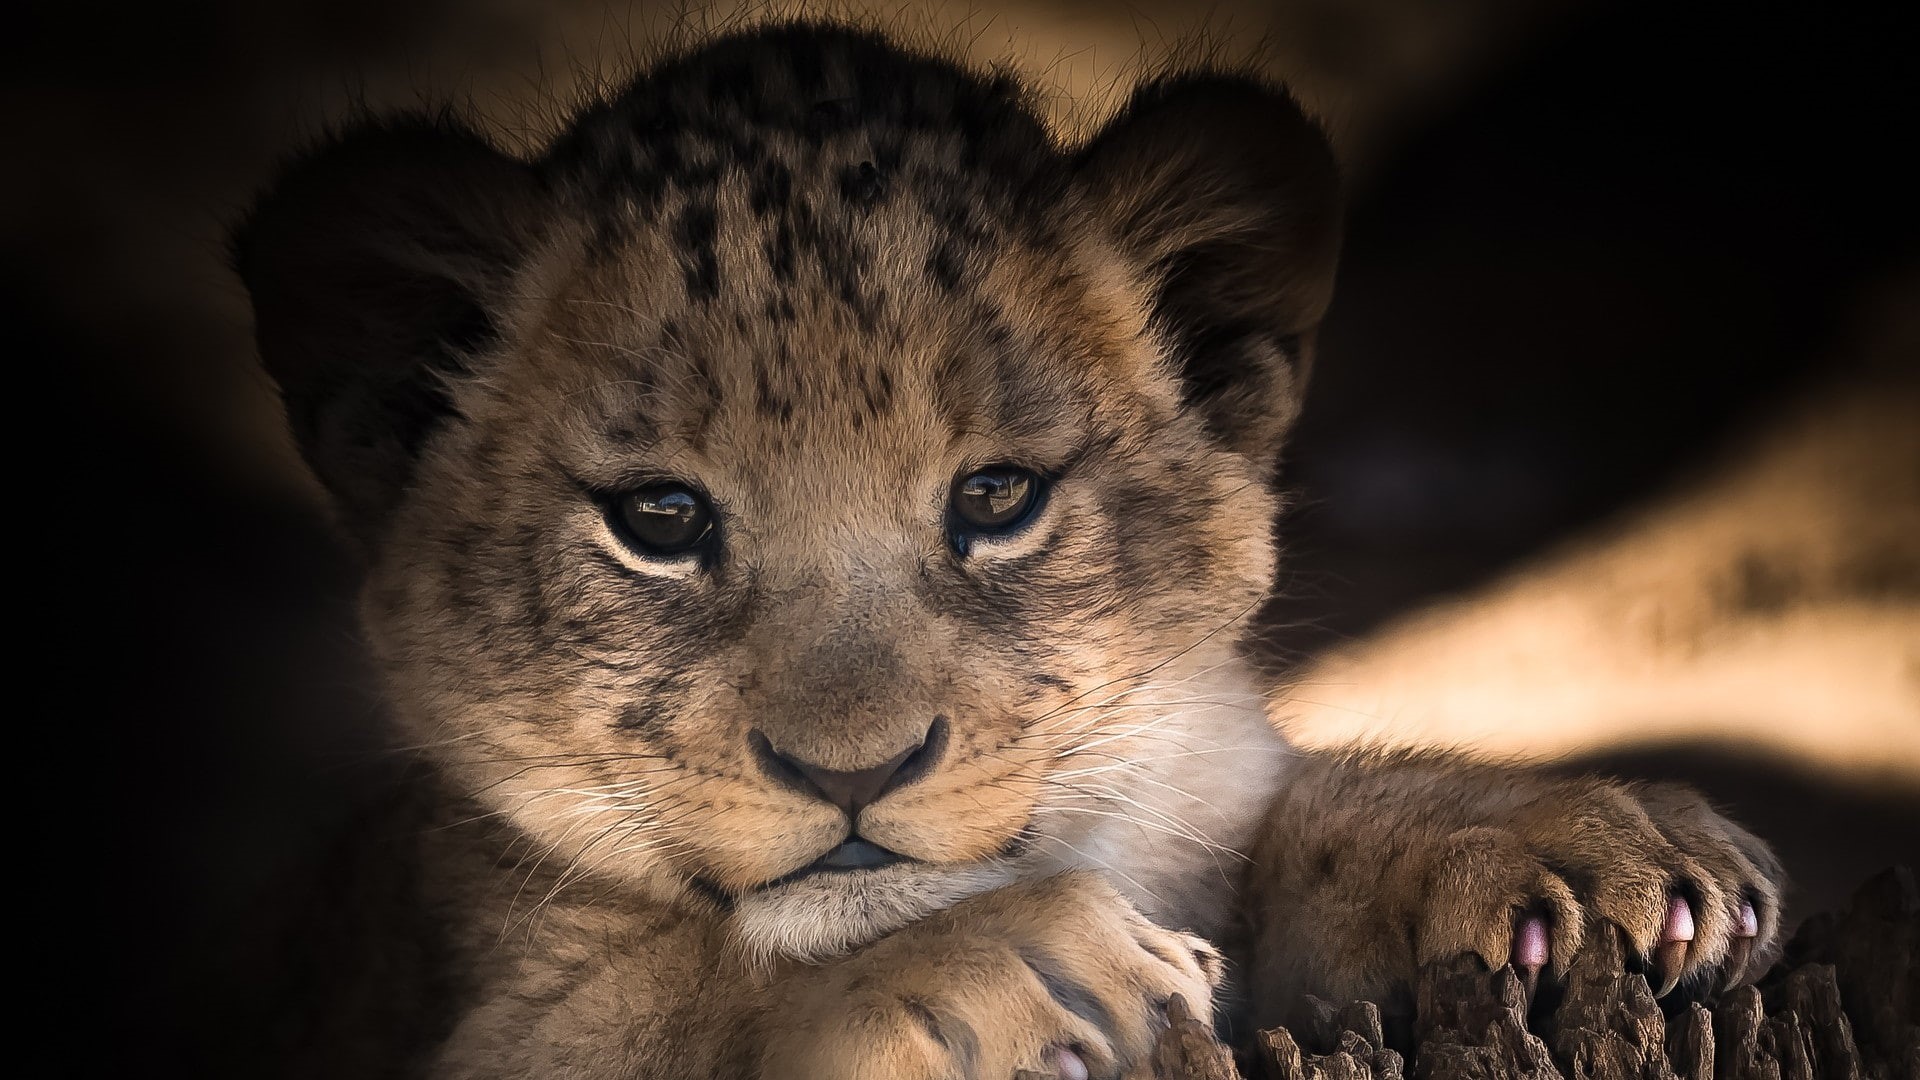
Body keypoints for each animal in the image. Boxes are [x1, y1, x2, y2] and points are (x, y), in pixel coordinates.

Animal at [234, 21, 1784, 1079]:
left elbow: (1294, 825)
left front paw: (1581, 847)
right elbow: (688, 997)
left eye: (996, 497)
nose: (853, 775)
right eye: (659, 519)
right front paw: (1024, 967)